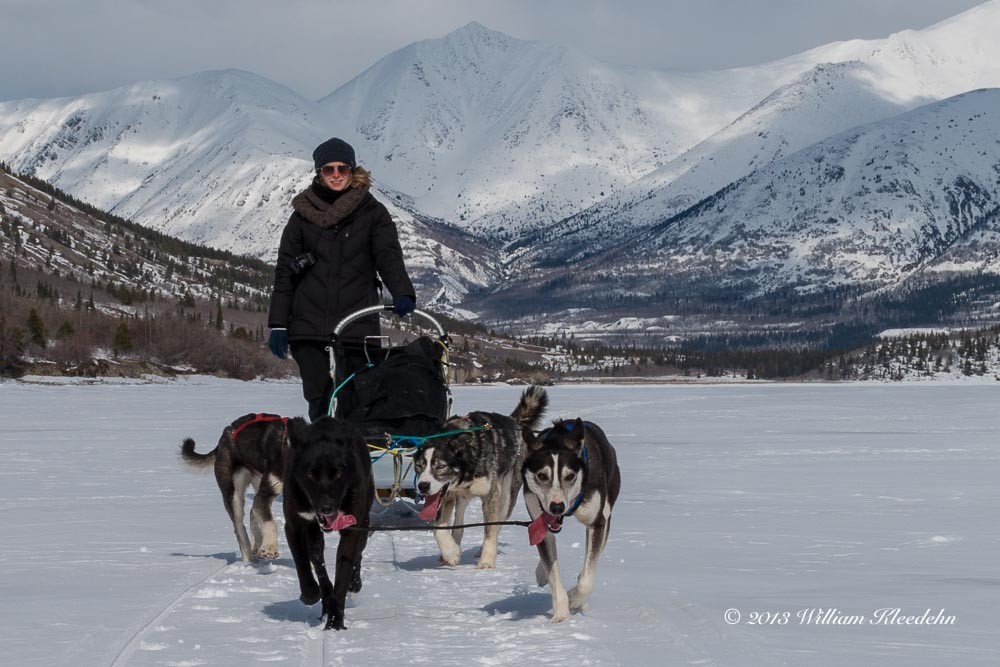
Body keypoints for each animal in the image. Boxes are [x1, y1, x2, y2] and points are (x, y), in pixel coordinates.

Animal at [180, 412, 288, 564]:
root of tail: (226, 432)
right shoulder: (267, 492)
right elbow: (270, 522)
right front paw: (270, 548)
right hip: (234, 494)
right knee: (239, 527)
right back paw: (249, 560)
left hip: (258, 480)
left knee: (254, 509)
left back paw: (256, 546)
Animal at [282, 418, 376, 632]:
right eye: (310, 475)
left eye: (338, 473)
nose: (326, 507)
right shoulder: (294, 526)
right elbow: (303, 563)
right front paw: (311, 594)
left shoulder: (352, 529)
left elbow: (343, 573)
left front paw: (335, 623)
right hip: (314, 534)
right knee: (318, 561)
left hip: (364, 522)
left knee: (358, 554)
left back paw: (354, 585)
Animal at [410, 386, 548, 568]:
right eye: (419, 466)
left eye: (440, 466)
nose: (423, 486)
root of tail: (514, 421)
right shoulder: (446, 497)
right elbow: (438, 527)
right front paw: (451, 553)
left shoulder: (490, 496)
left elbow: (490, 530)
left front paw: (486, 562)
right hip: (461, 498)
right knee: (459, 524)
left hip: (506, 496)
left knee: (498, 524)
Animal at [524, 420, 616, 624]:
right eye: (542, 475)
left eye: (570, 476)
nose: (557, 507)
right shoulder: (539, 522)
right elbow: (553, 574)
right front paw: (561, 615)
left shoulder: (597, 523)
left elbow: (586, 581)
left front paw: (574, 599)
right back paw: (541, 572)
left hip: (606, 514)